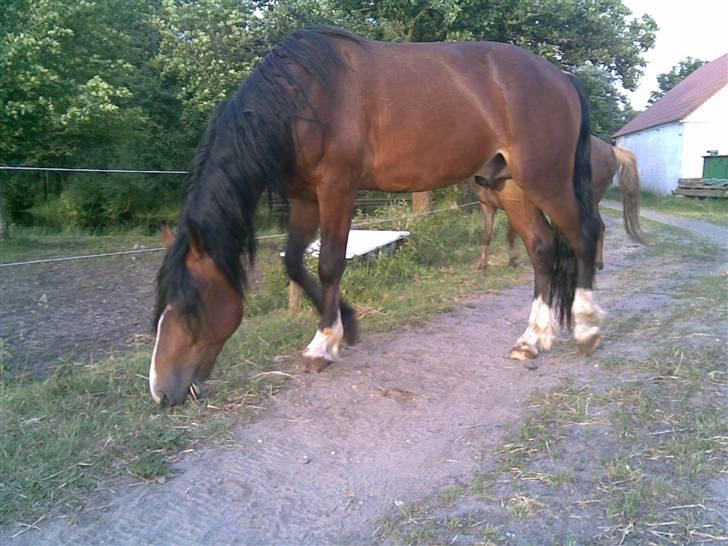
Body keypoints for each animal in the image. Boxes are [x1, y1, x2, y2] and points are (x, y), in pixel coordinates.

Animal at [149, 27, 604, 406]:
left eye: (191, 305)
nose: (161, 392)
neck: (304, 98)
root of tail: (562, 77)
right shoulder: (304, 198)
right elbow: (294, 262)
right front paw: (347, 325)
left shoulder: (337, 190)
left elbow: (329, 263)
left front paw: (323, 344)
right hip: (511, 186)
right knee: (542, 249)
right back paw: (533, 340)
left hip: (546, 179)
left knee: (584, 234)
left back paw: (586, 329)